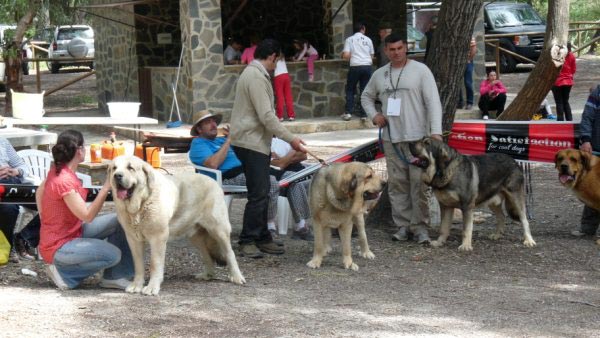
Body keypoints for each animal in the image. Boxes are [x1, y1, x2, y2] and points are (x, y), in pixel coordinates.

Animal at [109, 154, 245, 294]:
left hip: (219, 229)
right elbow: (138, 265)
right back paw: (208, 274)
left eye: (130, 168)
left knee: (229, 252)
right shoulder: (133, 239)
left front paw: (152, 287)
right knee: (206, 255)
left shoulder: (158, 238)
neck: (141, 204)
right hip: (195, 236)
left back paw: (236, 277)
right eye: (114, 168)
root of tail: (212, 180)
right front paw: (137, 285)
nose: (117, 175)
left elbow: (154, 263)